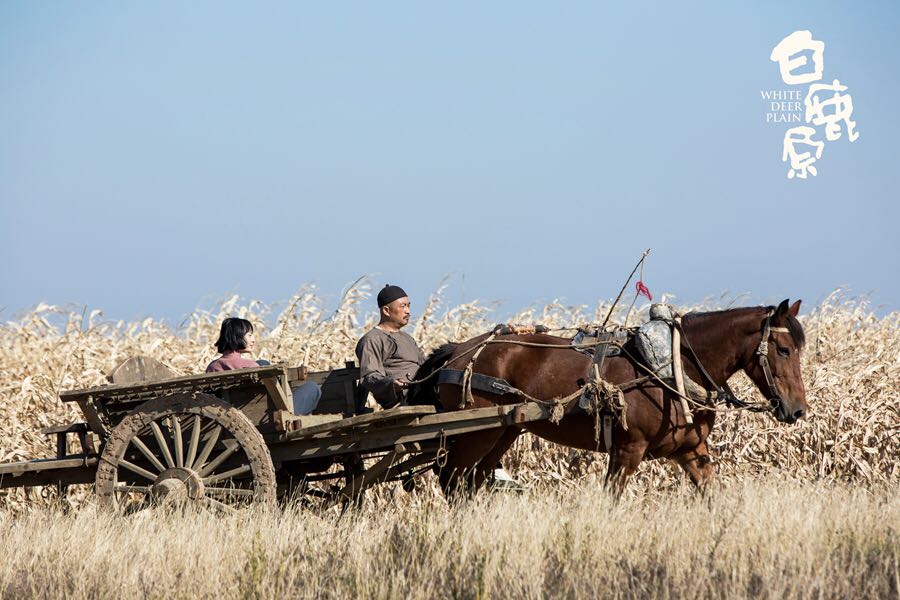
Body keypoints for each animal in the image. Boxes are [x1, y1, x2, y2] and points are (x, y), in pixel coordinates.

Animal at [408, 299, 808, 497]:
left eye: (800, 348)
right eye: (783, 349)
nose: (798, 410)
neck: (674, 365)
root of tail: (458, 350)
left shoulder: (692, 451)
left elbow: (711, 496)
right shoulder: (627, 450)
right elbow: (612, 499)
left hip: (503, 432)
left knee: (470, 482)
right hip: (477, 433)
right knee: (452, 480)